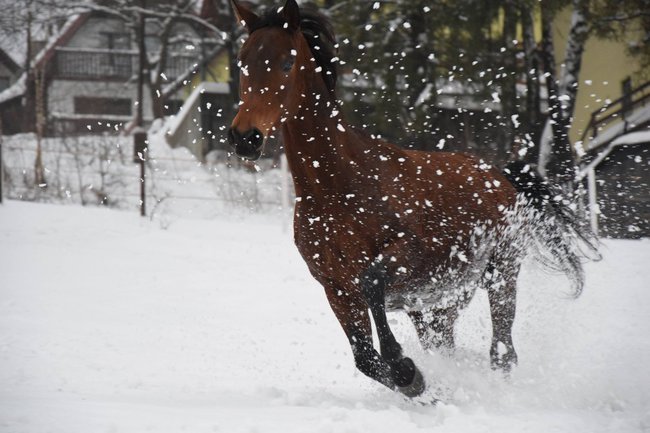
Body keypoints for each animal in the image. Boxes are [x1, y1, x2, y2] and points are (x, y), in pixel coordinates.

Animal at [224, 0, 596, 398]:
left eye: (286, 62)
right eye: (242, 61)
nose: (245, 137)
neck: (338, 187)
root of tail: (500, 175)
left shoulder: (408, 256)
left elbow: (373, 284)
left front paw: (404, 366)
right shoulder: (336, 288)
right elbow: (364, 358)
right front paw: (413, 381)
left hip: (500, 275)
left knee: (503, 353)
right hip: (439, 305)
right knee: (450, 347)